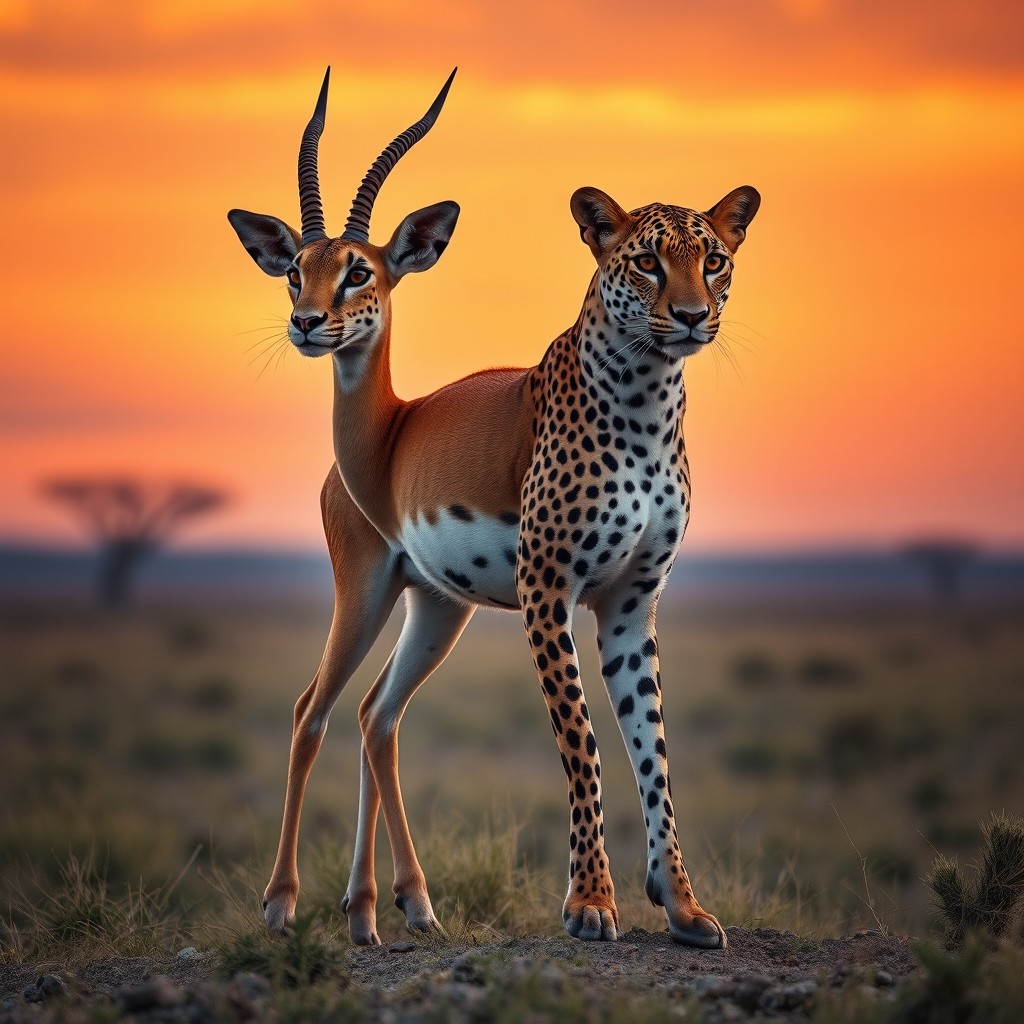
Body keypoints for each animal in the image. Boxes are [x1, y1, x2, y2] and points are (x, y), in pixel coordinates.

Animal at [229, 68, 759, 949]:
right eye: (294, 269)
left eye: (712, 259)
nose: (308, 323)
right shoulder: (548, 591)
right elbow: (583, 744)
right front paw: (591, 904)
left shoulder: (631, 599)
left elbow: (652, 750)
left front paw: (683, 907)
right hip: (365, 594)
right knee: (315, 711)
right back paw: (282, 904)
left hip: (439, 608)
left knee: (376, 715)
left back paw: (385, 908)